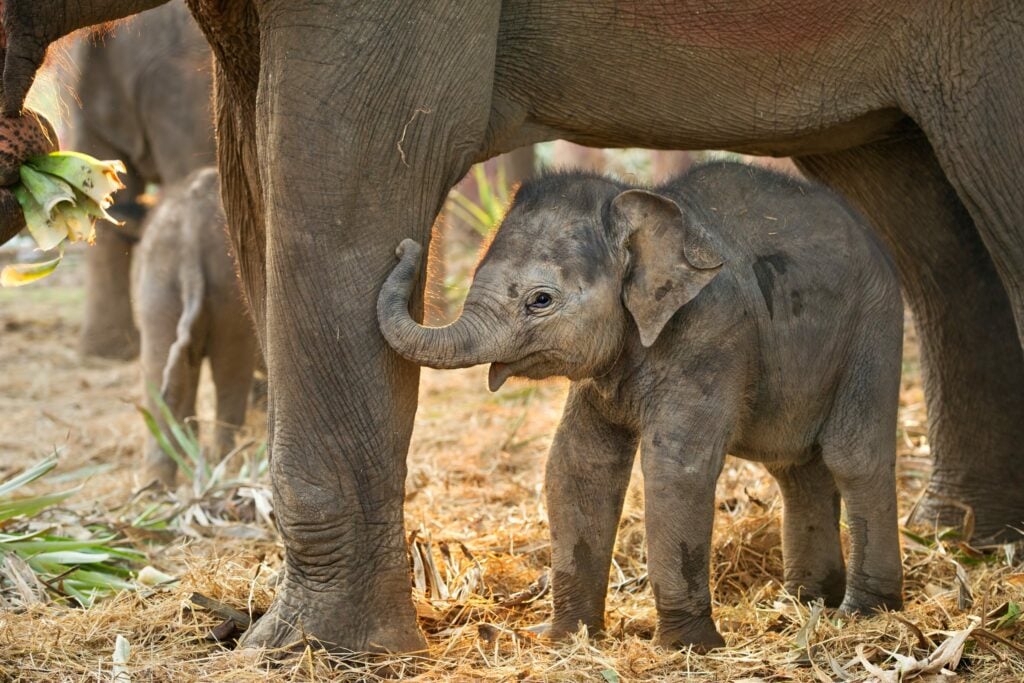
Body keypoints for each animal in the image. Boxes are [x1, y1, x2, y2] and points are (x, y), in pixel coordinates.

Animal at [134, 166, 260, 485]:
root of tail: (190, 235)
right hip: (230, 292)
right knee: (230, 371)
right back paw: (224, 464)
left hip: (158, 286)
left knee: (161, 373)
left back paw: (157, 483)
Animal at [378, 161, 905, 651]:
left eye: (540, 300)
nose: (406, 247)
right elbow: (577, 464)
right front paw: (566, 639)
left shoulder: (712, 332)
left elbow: (675, 468)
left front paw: (688, 647)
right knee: (796, 469)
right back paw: (802, 601)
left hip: (873, 330)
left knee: (852, 457)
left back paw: (863, 612)